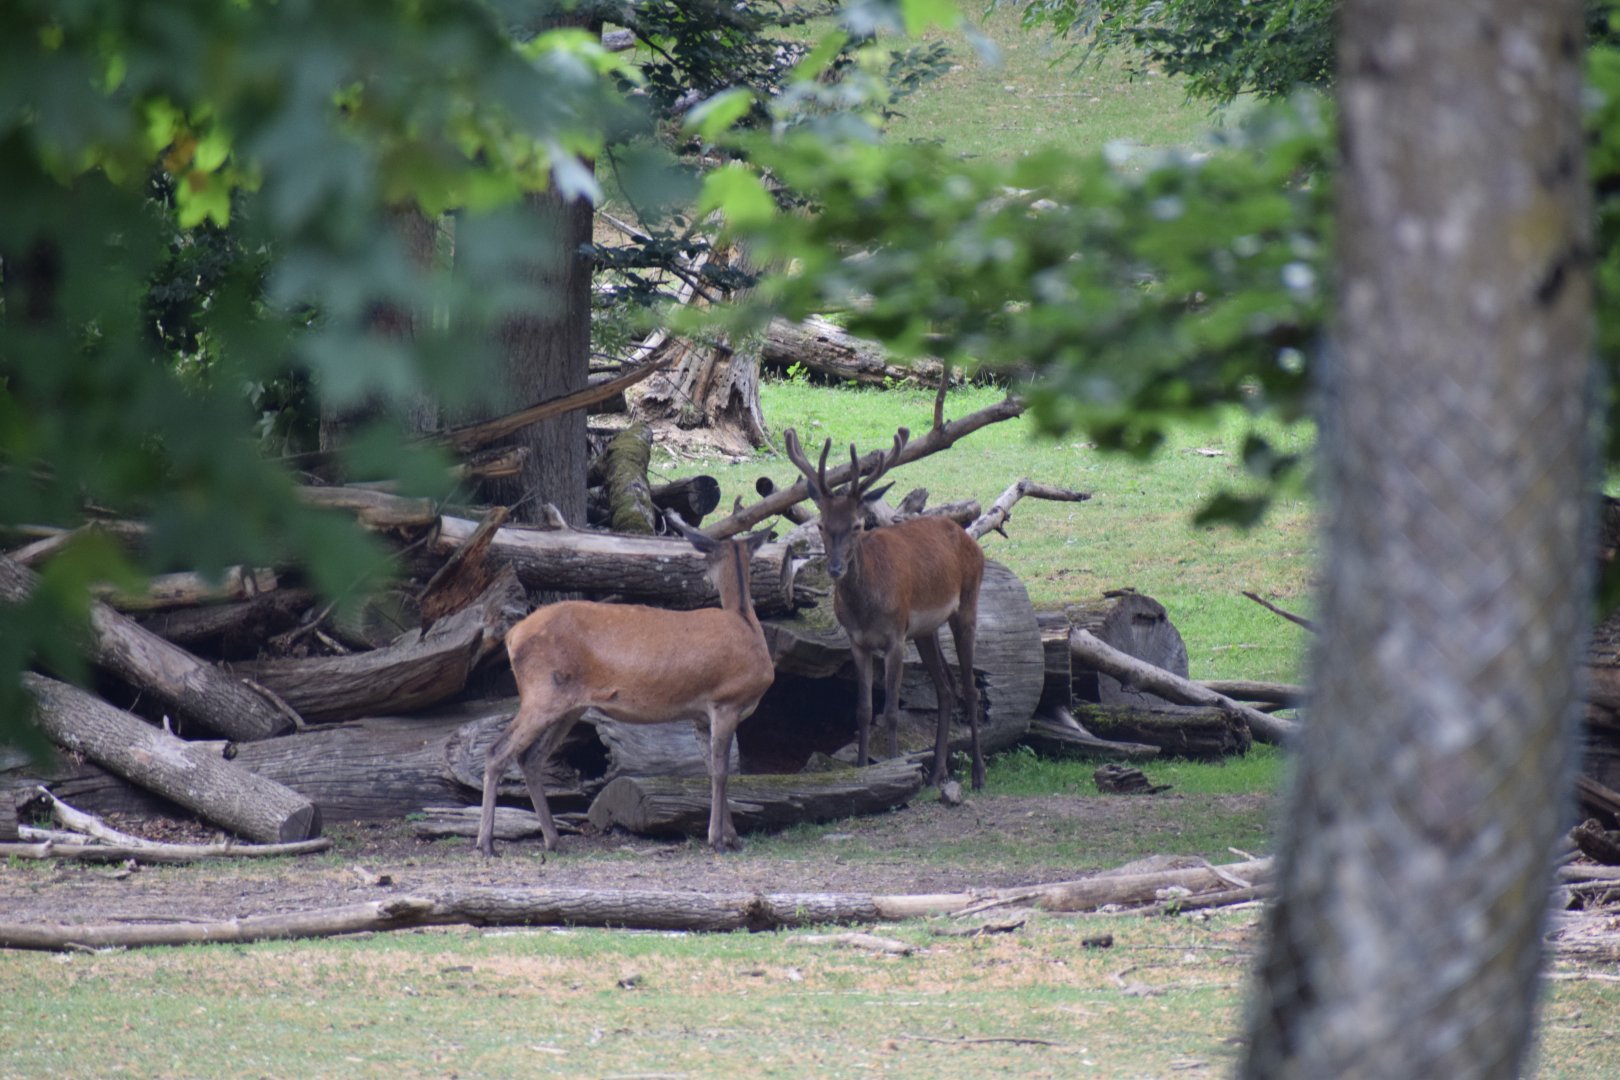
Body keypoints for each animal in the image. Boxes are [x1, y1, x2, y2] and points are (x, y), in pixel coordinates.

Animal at [476, 515, 775, 857]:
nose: (702, 578)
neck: (747, 625)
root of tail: (513, 636)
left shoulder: (701, 715)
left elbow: (712, 769)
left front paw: (732, 837)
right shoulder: (726, 701)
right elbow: (722, 773)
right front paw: (718, 840)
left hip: (568, 705)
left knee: (531, 758)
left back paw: (553, 840)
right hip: (542, 693)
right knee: (497, 751)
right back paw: (486, 843)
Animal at [783, 426, 987, 789]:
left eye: (857, 525)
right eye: (820, 525)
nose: (835, 569)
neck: (867, 611)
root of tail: (968, 537)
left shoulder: (895, 636)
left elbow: (891, 710)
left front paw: (895, 766)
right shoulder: (857, 641)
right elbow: (864, 709)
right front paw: (864, 767)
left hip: (967, 603)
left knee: (970, 687)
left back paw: (978, 774)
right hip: (924, 629)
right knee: (946, 688)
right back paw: (937, 772)